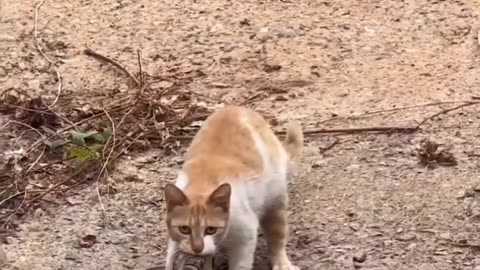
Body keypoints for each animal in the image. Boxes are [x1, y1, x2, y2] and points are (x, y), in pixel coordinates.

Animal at [163, 105, 302, 270]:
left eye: (211, 229)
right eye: (184, 229)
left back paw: (281, 262)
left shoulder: (245, 235)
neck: (202, 184)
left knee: (277, 236)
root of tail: (236, 107)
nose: (197, 248)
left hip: (275, 200)